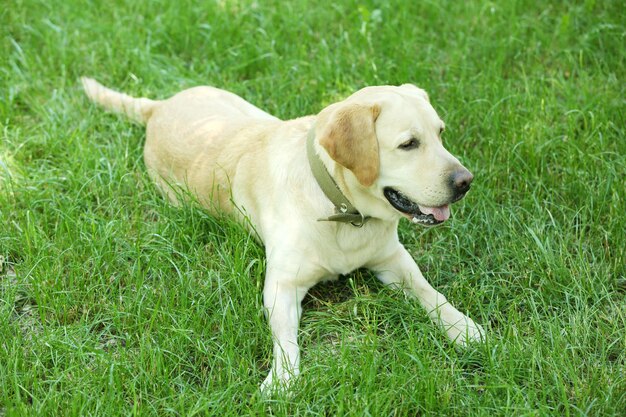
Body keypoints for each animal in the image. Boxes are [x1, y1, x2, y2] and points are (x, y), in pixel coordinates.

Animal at [81, 79, 482, 390]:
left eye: (440, 134)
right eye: (408, 144)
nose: (465, 182)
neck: (342, 209)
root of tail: (159, 107)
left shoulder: (393, 258)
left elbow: (430, 292)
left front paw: (463, 328)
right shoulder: (282, 285)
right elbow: (286, 337)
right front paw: (283, 379)